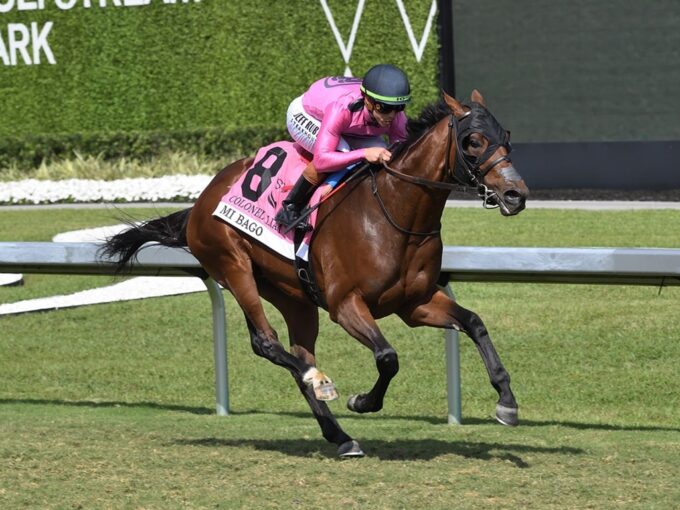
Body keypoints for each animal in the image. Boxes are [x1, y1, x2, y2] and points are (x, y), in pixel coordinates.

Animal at [103, 91, 532, 458]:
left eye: (506, 137)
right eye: (473, 140)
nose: (516, 195)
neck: (396, 212)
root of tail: (200, 200)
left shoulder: (416, 303)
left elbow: (474, 323)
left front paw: (506, 402)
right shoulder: (345, 305)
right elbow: (388, 357)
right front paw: (362, 401)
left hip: (295, 297)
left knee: (297, 354)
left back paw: (340, 435)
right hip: (234, 266)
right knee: (267, 342)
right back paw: (320, 381)